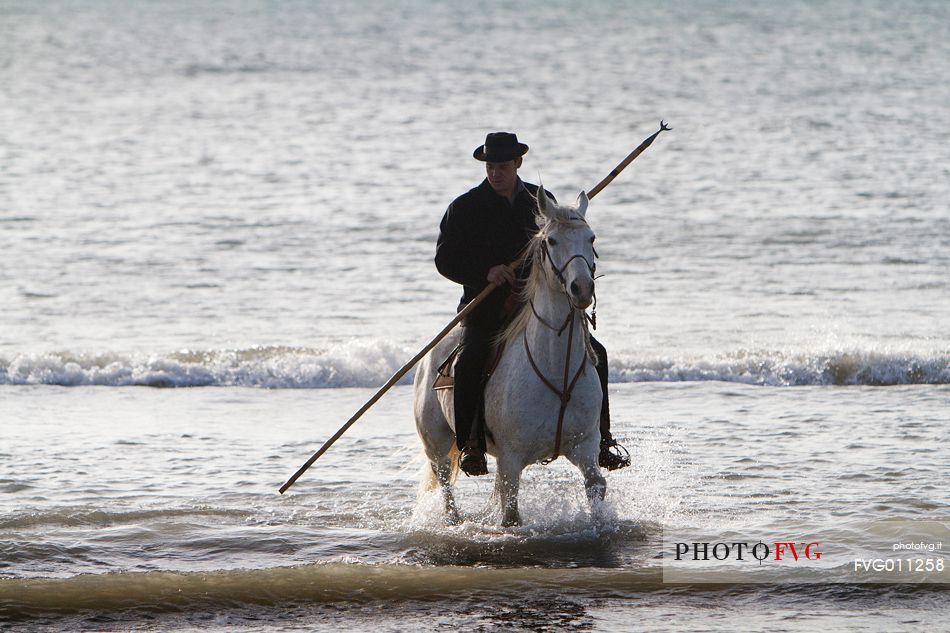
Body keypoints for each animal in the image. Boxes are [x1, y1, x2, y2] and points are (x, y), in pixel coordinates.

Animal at [412, 185, 608, 524]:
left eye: (591, 238)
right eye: (551, 241)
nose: (581, 289)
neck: (555, 368)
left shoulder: (585, 447)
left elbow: (596, 486)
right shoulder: (511, 459)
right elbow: (512, 514)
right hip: (435, 444)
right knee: (445, 485)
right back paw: (454, 521)